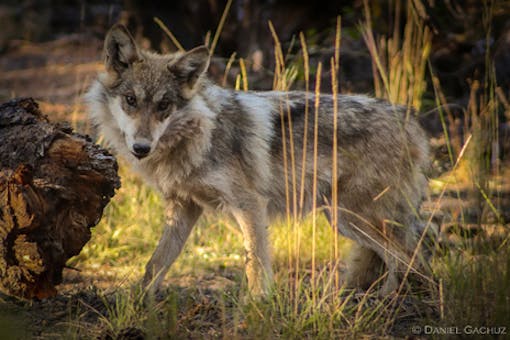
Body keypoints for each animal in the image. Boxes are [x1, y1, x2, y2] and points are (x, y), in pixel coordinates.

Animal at [86, 23, 430, 296]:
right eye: (131, 100)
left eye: (163, 105)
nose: (141, 147)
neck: (199, 135)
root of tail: (411, 121)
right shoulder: (184, 207)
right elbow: (155, 264)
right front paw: (137, 305)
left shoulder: (249, 204)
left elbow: (255, 264)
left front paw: (258, 307)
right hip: (345, 219)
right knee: (404, 260)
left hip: (350, 217)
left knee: (413, 260)